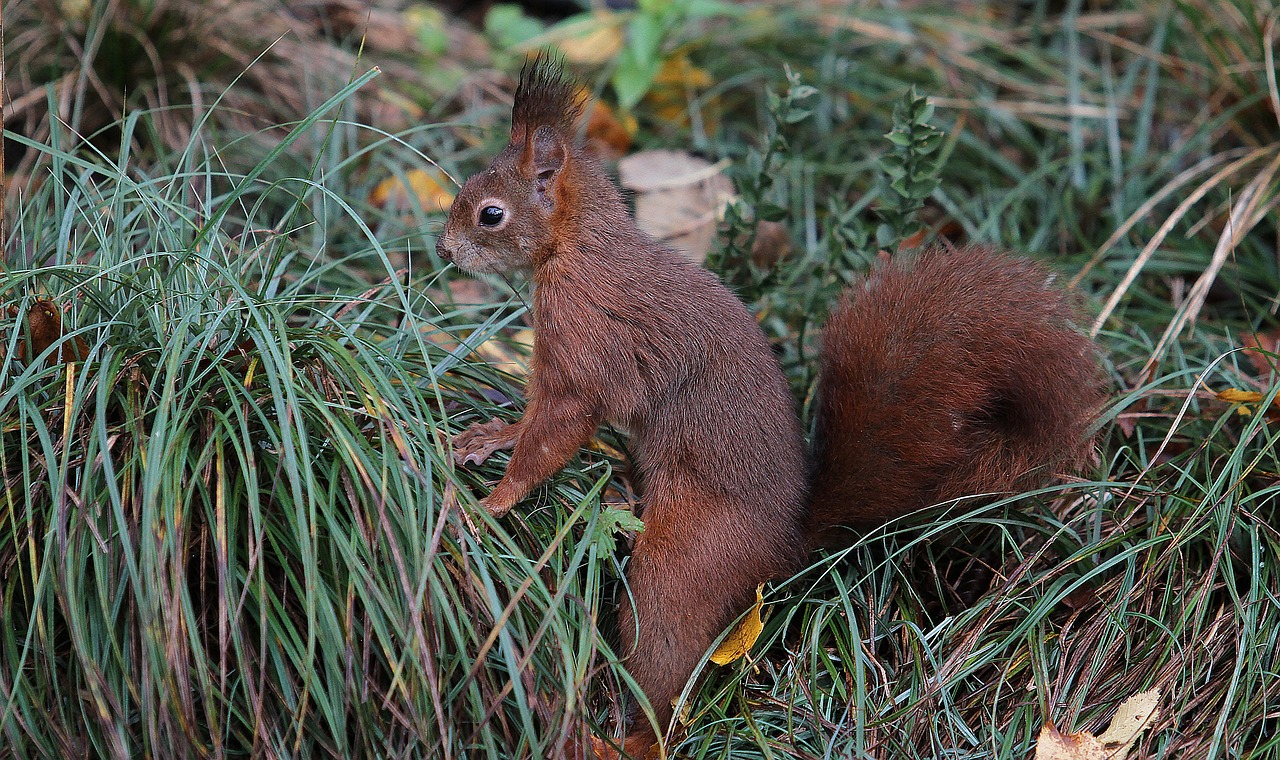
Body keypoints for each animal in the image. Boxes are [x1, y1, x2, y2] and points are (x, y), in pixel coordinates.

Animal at [435, 56, 1105, 752]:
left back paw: (617, 739)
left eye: (490, 214)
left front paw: (492, 502)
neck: (579, 249)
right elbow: (532, 423)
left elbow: (555, 434)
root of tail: (786, 544)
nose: (444, 250)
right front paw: (490, 436)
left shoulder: (585, 350)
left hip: (688, 557)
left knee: (665, 661)